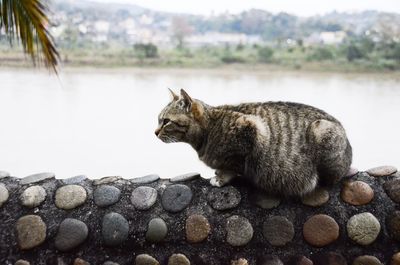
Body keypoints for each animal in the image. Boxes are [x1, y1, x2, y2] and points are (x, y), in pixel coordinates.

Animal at [155, 88, 352, 196]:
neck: (209, 128)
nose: (155, 132)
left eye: (166, 121)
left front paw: (221, 177)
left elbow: (233, 165)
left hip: (321, 129)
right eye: (159, 120)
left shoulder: (254, 130)